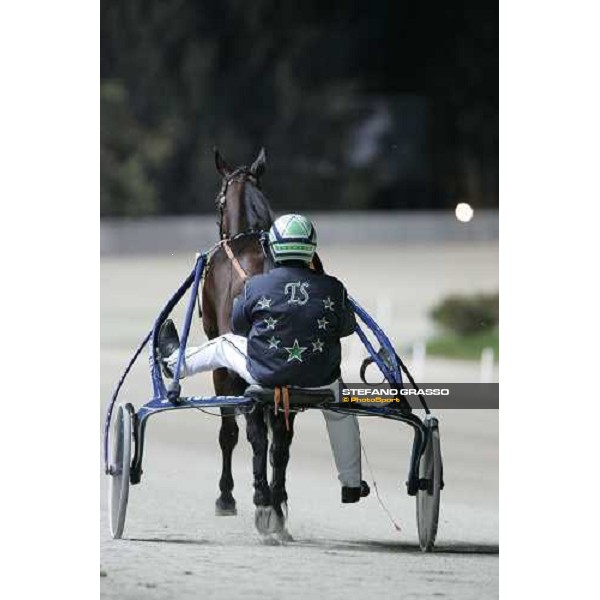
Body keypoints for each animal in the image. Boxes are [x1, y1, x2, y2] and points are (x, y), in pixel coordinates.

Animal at [202, 148, 298, 532]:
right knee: (282, 438)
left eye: (217, 200)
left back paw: (262, 502)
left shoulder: (222, 359)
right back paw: (278, 500)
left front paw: (226, 496)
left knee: (256, 431)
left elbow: (229, 430)